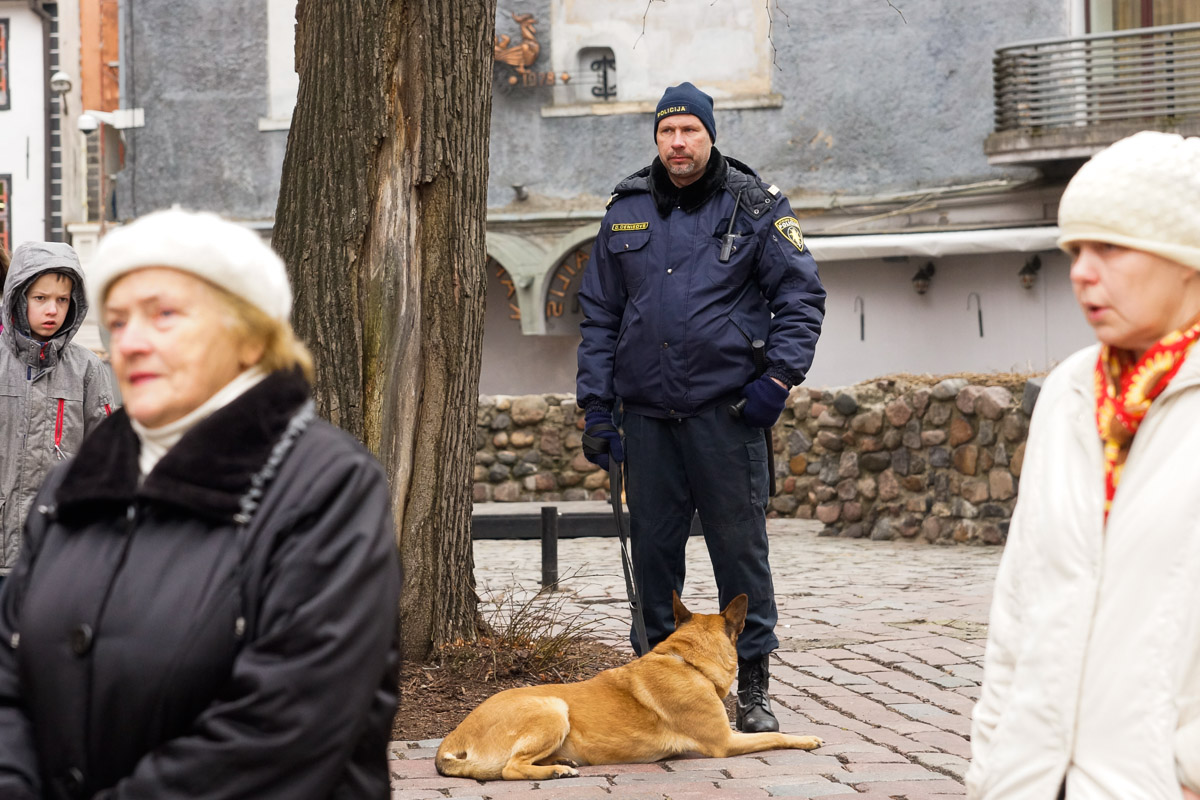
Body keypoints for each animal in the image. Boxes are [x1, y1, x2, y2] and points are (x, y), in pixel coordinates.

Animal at [436, 587, 820, 782]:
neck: (688, 662)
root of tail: (453, 737)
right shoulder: (724, 743)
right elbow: (774, 737)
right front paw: (806, 739)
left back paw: (558, 762)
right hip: (553, 709)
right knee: (510, 769)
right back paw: (556, 770)